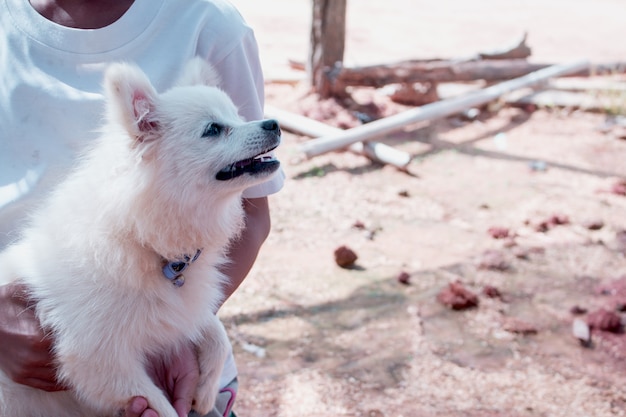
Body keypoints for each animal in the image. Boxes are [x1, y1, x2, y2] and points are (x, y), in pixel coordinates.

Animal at [0, 58, 280, 416]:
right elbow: (162, 408)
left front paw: (204, 390)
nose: (273, 123)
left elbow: (215, 332)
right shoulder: (99, 361)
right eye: (213, 130)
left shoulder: (179, 313)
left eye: (237, 116)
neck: (141, 236)